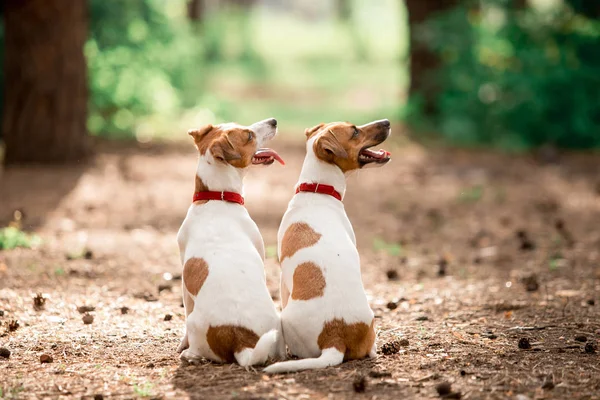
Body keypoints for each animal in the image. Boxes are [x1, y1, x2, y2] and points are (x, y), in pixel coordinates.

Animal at [264, 119, 392, 376]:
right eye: (355, 131)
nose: (387, 122)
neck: (316, 189)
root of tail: (335, 337)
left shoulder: (283, 280)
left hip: (286, 319)